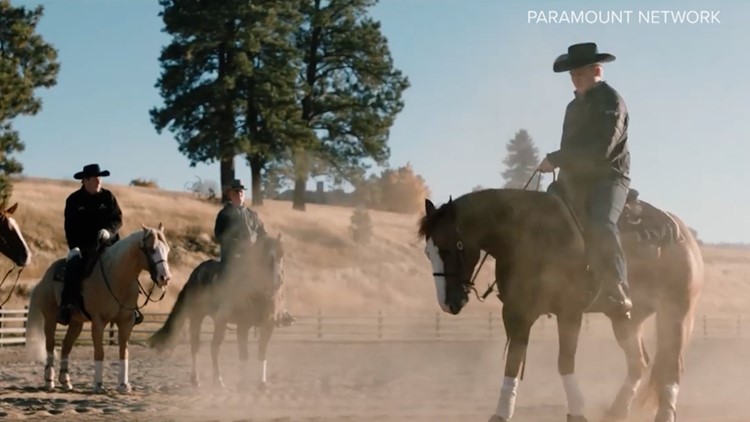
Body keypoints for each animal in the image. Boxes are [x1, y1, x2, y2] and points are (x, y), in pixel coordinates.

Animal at [25, 226, 173, 394]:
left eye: (167, 249)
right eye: (152, 249)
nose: (165, 278)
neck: (116, 277)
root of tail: (44, 278)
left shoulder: (126, 322)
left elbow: (124, 351)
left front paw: (123, 385)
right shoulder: (99, 322)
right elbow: (99, 352)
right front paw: (98, 385)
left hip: (76, 323)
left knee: (65, 346)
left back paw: (65, 381)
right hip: (50, 318)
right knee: (50, 346)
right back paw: (49, 381)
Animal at [148, 232, 288, 390]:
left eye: (282, 256)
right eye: (267, 257)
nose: (278, 280)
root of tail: (196, 273)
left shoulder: (266, 325)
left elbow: (261, 353)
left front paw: (261, 384)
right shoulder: (243, 325)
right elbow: (243, 354)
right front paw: (242, 383)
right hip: (201, 317)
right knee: (203, 347)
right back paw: (208, 380)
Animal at [420, 188, 708, 422]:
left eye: (449, 247)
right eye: (428, 252)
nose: (448, 304)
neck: (527, 234)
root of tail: (682, 232)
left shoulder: (569, 312)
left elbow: (564, 362)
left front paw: (577, 412)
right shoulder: (516, 312)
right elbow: (513, 361)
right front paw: (501, 413)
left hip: (676, 313)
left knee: (671, 365)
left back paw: (662, 414)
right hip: (627, 317)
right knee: (639, 362)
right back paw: (616, 412)